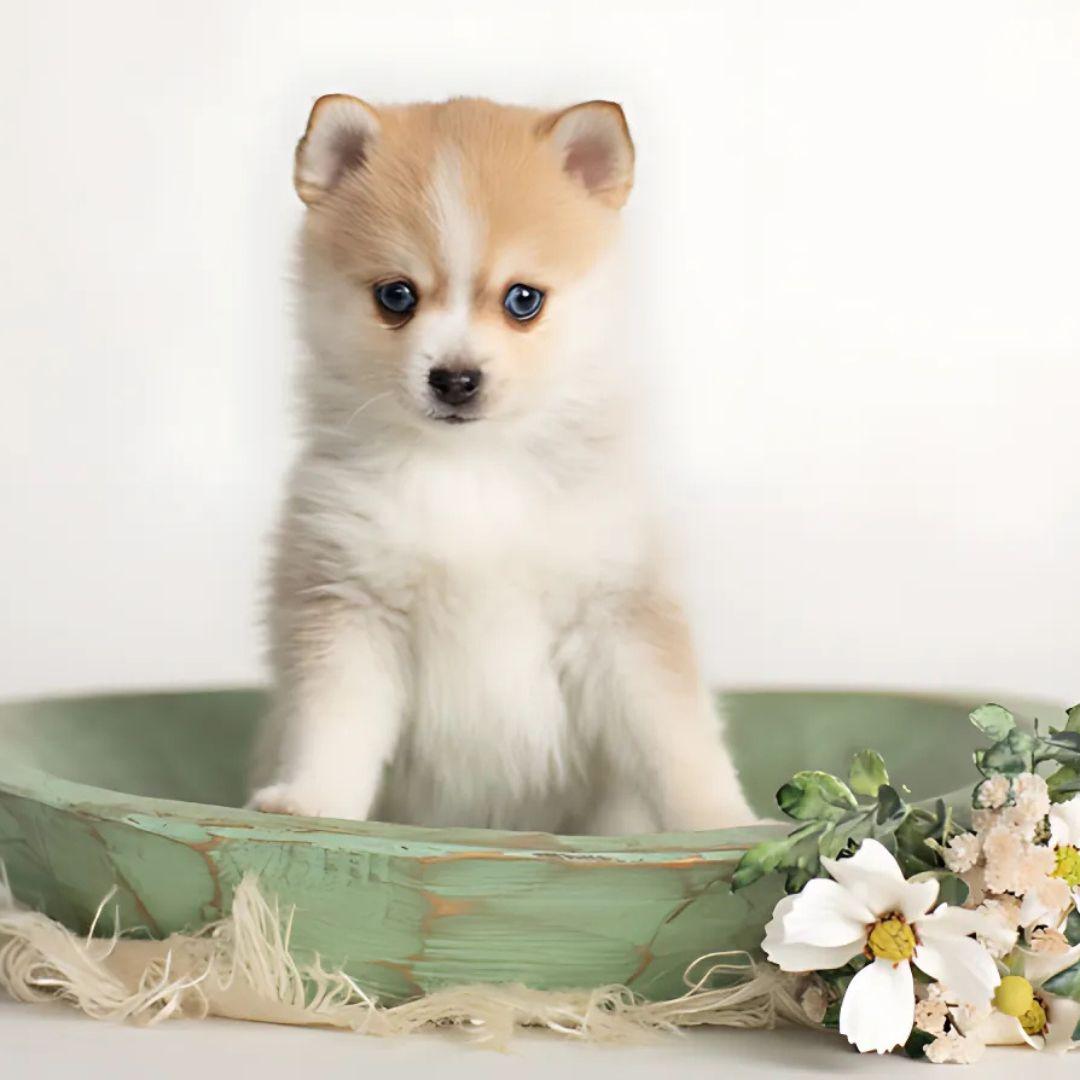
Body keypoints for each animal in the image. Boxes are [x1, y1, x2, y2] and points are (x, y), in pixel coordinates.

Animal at [249, 95, 756, 833]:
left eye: (524, 299)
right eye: (396, 296)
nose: (456, 379)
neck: (474, 470)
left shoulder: (618, 615)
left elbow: (677, 738)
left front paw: (722, 820)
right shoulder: (352, 608)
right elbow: (333, 729)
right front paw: (313, 802)